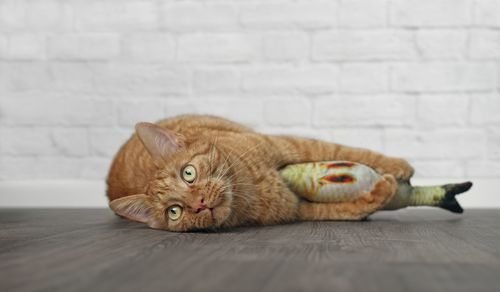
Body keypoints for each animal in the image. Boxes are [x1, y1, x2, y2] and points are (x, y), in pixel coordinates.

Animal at [106, 115, 414, 232]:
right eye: (174, 211)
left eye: (188, 174)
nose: (200, 204)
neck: (252, 189)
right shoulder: (297, 209)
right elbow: (343, 211)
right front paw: (381, 192)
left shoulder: (292, 146)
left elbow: (344, 149)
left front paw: (396, 164)